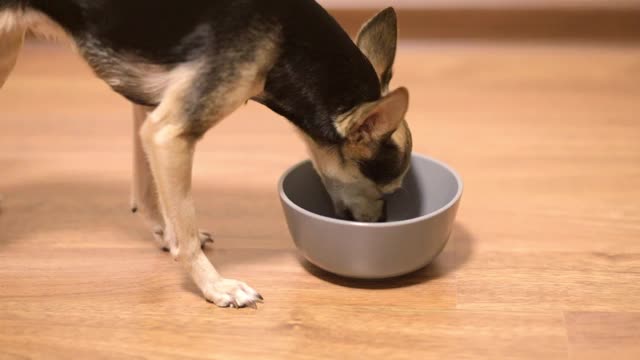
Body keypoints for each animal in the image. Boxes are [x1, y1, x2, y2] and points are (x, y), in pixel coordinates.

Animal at [0, 0, 412, 310]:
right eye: (386, 190)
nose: (381, 224)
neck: (287, 45)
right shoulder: (169, 134)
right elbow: (185, 228)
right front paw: (216, 286)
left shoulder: (151, 115)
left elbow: (153, 192)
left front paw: (164, 232)